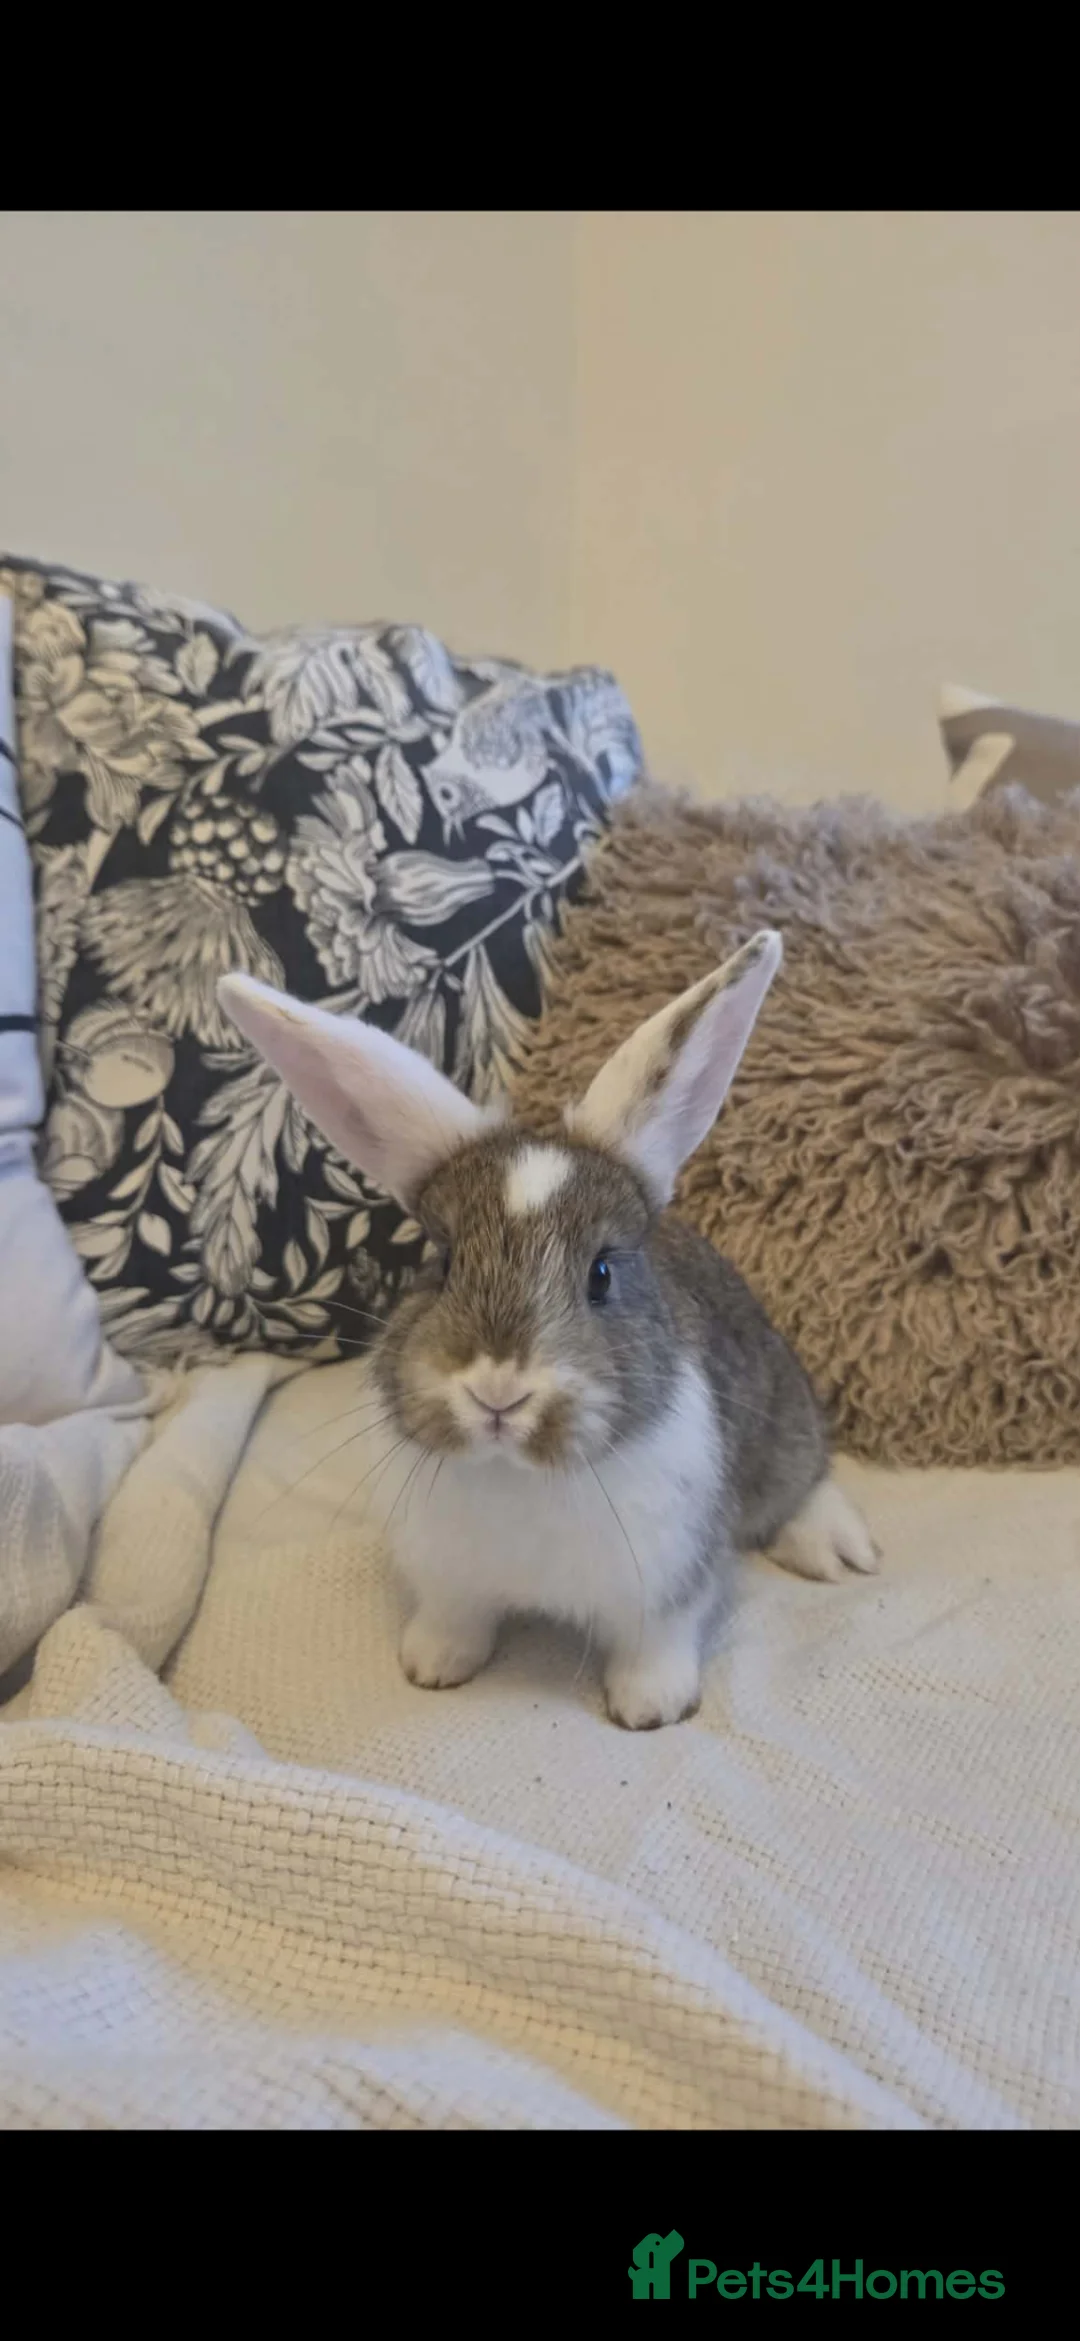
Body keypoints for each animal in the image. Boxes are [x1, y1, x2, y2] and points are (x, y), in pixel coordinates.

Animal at [218, 930, 879, 1730]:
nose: (499, 1393)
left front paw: (651, 1708)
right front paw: (432, 1667)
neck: (520, 1475)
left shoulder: (666, 1587)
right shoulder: (450, 1582)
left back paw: (837, 1547)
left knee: (802, 1478)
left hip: (781, 1414)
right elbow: (455, 1623)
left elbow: (656, 1645)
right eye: (442, 1263)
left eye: (602, 1273)